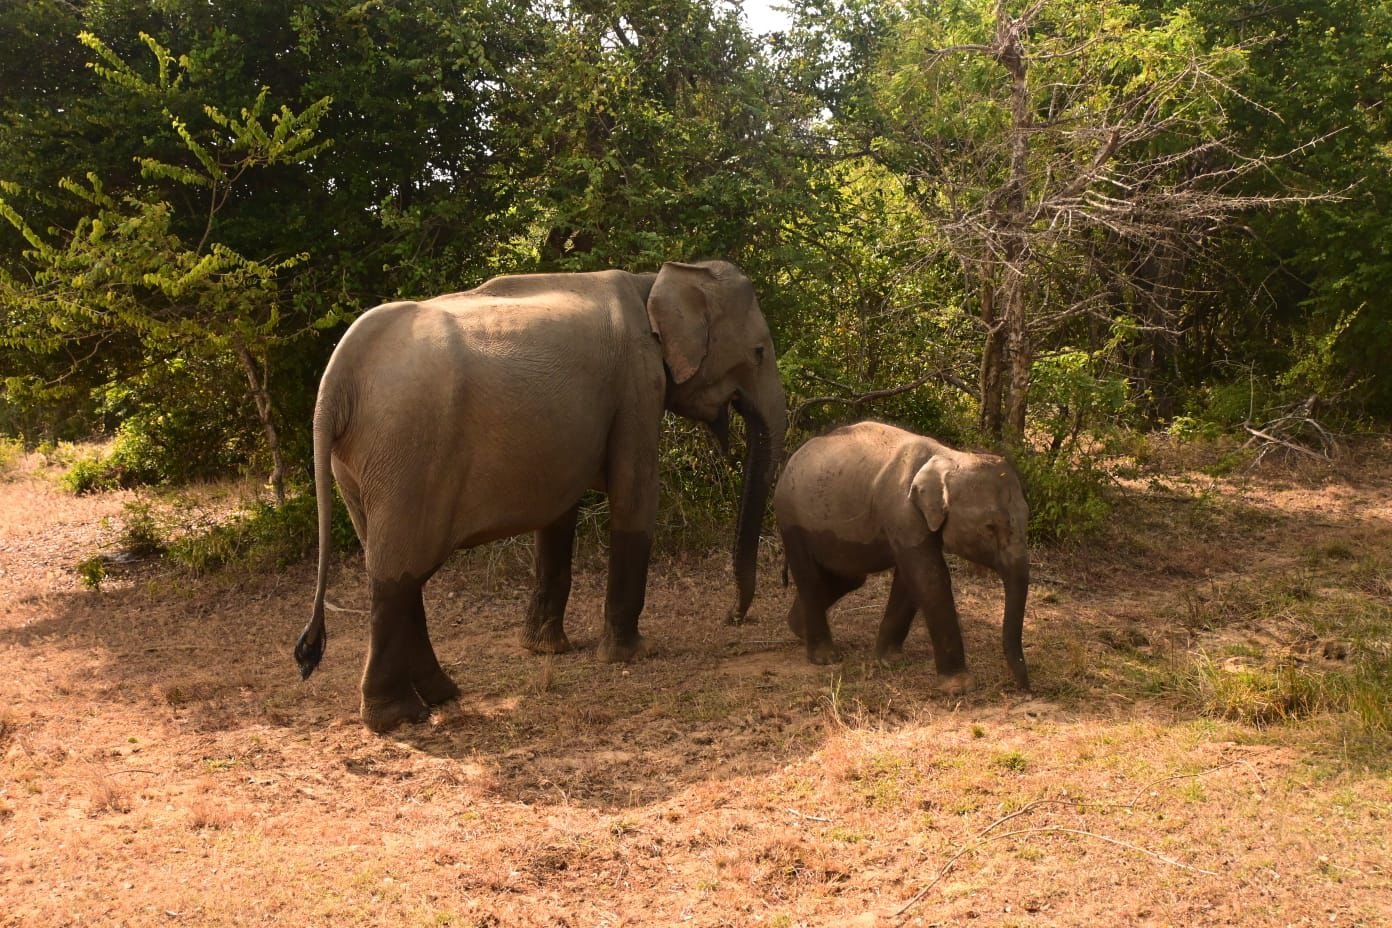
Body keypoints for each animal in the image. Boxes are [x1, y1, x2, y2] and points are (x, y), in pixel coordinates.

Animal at [294, 260, 787, 732]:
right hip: (407, 452)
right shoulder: (637, 383)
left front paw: (546, 650)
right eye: (759, 352)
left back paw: (442, 694)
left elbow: (558, 513)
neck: (655, 278)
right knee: (397, 570)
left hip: (362, 464)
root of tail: (337, 379)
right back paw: (399, 718)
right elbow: (636, 492)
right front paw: (630, 655)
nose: (733, 618)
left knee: (397, 565)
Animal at [773, 420, 1030, 693]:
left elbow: (910, 580)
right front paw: (959, 687)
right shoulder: (903, 512)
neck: (947, 456)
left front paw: (891, 660)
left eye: (1026, 519)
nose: (1025, 688)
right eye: (990, 527)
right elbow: (929, 578)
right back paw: (825, 658)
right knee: (809, 577)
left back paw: (798, 628)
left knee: (849, 579)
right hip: (790, 518)